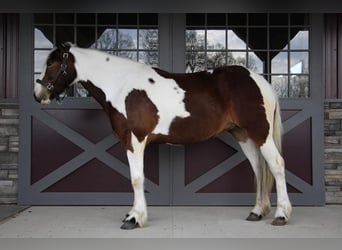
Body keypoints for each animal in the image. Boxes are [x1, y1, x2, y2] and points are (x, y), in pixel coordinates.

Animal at [33, 42, 292, 229]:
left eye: (53, 63)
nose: (38, 94)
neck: (121, 85)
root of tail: (260, 81)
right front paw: (133, 214)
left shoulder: (135, 140)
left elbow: (137, 179)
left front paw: (134, 218)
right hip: (244, 135)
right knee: (259, 168)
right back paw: (257, 212)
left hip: (261, 133)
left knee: (277, 165)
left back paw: (281, 215)